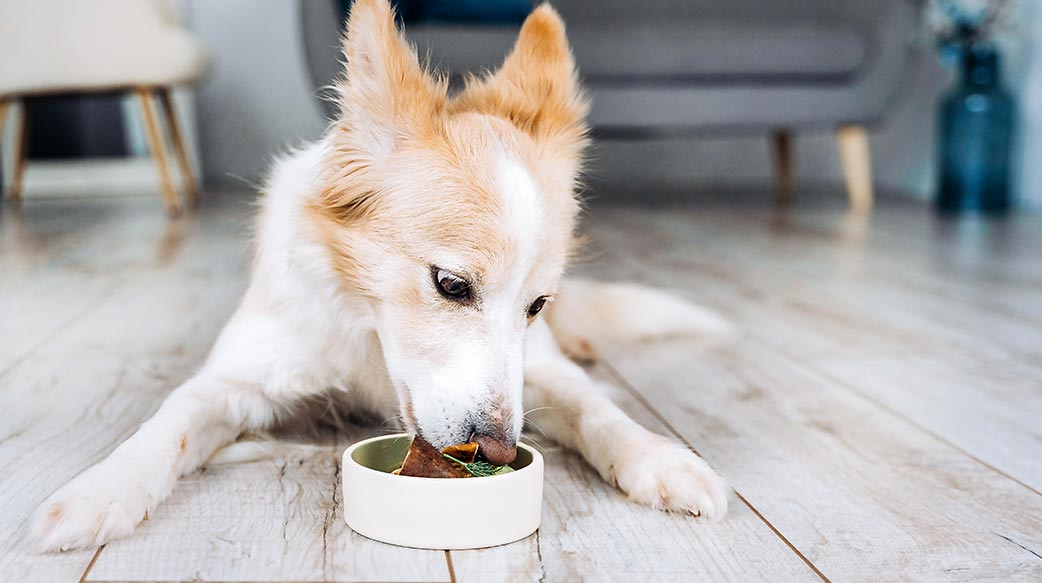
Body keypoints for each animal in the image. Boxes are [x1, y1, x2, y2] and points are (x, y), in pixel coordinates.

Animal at [30, 0, 725, 549]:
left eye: (536, 306)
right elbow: (169, 423)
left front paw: (660, 457)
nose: (500, 452)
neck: (371, 336)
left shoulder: (544, 367)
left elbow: (595, 407)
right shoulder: (239, 377)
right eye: (450, 285)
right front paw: (101, 491)